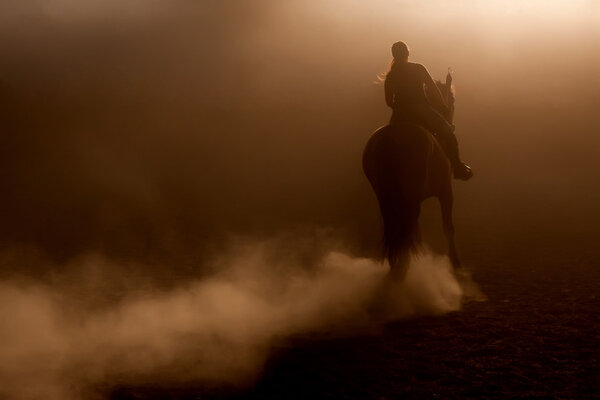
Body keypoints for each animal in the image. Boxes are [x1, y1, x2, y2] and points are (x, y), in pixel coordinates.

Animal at [364, 72, 462, 278]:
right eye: (453, 99)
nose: (451, 123)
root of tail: (393, 138)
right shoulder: (445, 191)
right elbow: (448, 227)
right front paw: (455, 263)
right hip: (411, 196)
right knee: (406, 226)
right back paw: (403, 267)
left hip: (384, 195)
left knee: (394, 225)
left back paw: (397, 266)